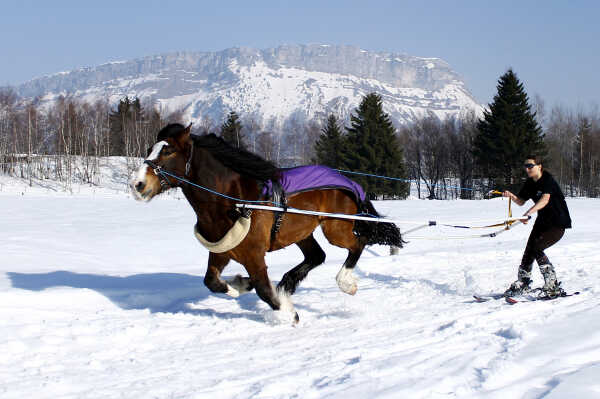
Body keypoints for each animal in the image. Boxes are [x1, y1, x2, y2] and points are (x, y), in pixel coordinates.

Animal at [131, 122, 404, 322]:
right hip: (302, 233)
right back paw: (286, 284)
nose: (138, 184)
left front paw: (288, 313)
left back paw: (345, 283)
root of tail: (349, 182)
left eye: (168, 150)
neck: (234, 201)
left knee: (358, 243)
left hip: (335, 228)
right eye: (149, 149)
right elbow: (211, 281)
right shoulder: (221, 251)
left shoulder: (253, 254)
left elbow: (263, 288)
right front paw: (239, 285)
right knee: (317, 256)